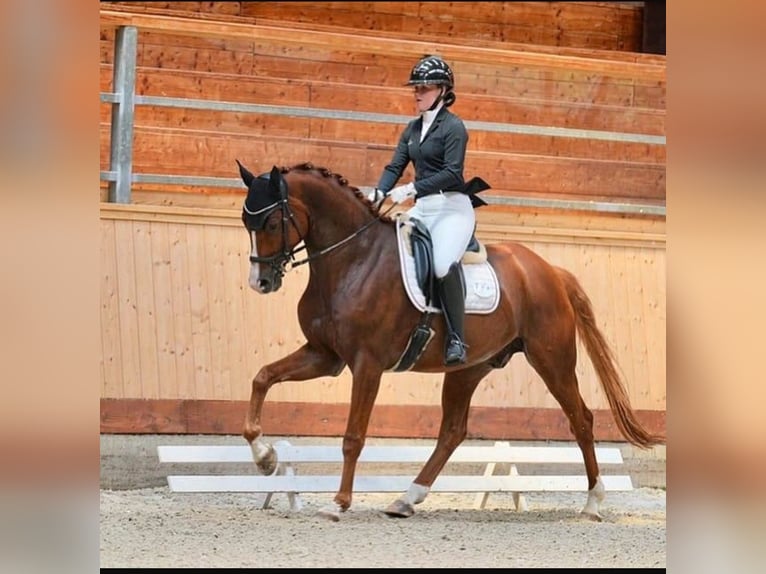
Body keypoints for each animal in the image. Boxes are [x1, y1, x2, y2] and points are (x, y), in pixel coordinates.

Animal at [240, 161, 664, 520]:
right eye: (247, 222)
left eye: (273, 221)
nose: (261, 282)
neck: (353, 259)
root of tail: (550, 271)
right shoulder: (324, 356)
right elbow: (262, 376)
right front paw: (265, 457)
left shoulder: (367, 364)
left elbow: (352, 436)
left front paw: (339, 503)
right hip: (470, 367)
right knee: (453, 431)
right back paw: (406, 498)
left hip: (552, 359)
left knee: (581, 419)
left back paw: (592, 503)